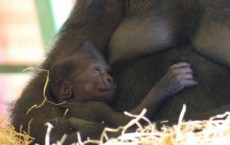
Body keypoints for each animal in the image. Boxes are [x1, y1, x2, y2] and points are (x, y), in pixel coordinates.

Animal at [49, 42, 197, 129]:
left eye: (108, 71)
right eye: (96, 70)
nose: (110, 79)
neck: (72, 101)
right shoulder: (95, 107)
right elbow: (125, 120)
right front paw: (169, 83)